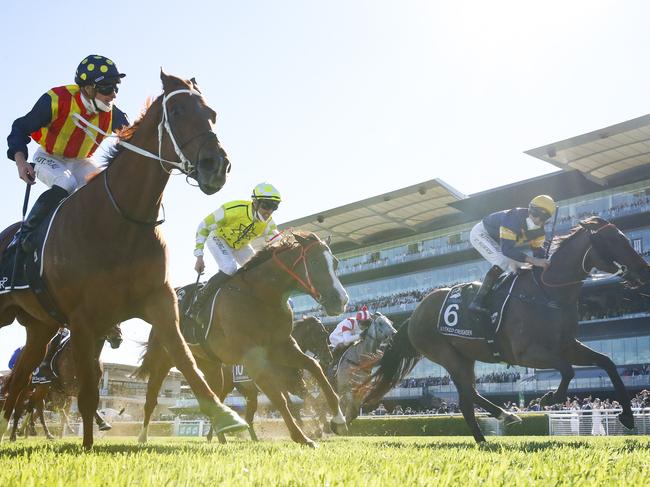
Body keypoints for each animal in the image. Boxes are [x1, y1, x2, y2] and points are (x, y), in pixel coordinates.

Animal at [0, 70, 244, 448]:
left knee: (19, 380)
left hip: (41, 326)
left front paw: (225, 417)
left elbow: (185, 359)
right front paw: (86, 445)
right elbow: (86, 393)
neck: (121, 220)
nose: (216, 166)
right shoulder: (83, 319)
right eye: (177, 112)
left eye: (212, 113)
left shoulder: (159, 301)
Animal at [137, 231, 350, 448]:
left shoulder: (281, 347)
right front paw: (303, 437)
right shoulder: (252, 357)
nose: (341, 300)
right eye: (315, 261)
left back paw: (223, 436)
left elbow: (314, 369)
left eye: (335, 263)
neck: (261, 296)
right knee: (151, 398)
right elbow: (281, 399)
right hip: (164, 359)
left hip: (212, 367)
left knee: (215, 397)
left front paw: (338, 420)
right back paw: (143, 437)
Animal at [362, 219, 648, 444]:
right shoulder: (526, 353)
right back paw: (495, 425)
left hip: (464, 356)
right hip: (447, 355)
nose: (644, 271)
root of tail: (414, 315)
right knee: (467, 397)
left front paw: (627, 415)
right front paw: (549, 398)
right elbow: (568, 370)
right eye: (613, 241)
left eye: (626, 239)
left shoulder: (567, 346)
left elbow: (607, 363)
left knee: (468, 397)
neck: (547, 293)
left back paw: (496, 424)